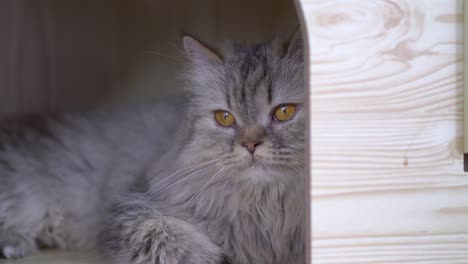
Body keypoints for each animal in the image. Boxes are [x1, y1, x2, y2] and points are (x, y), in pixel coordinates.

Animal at [0, 31, 308, 264]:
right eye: (225, 118)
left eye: (284, 112)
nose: (251, 144)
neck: (263, 209)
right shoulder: (132, 212)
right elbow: (168, 240)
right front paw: (217, 257)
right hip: (26, 195)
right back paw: (14, 245)